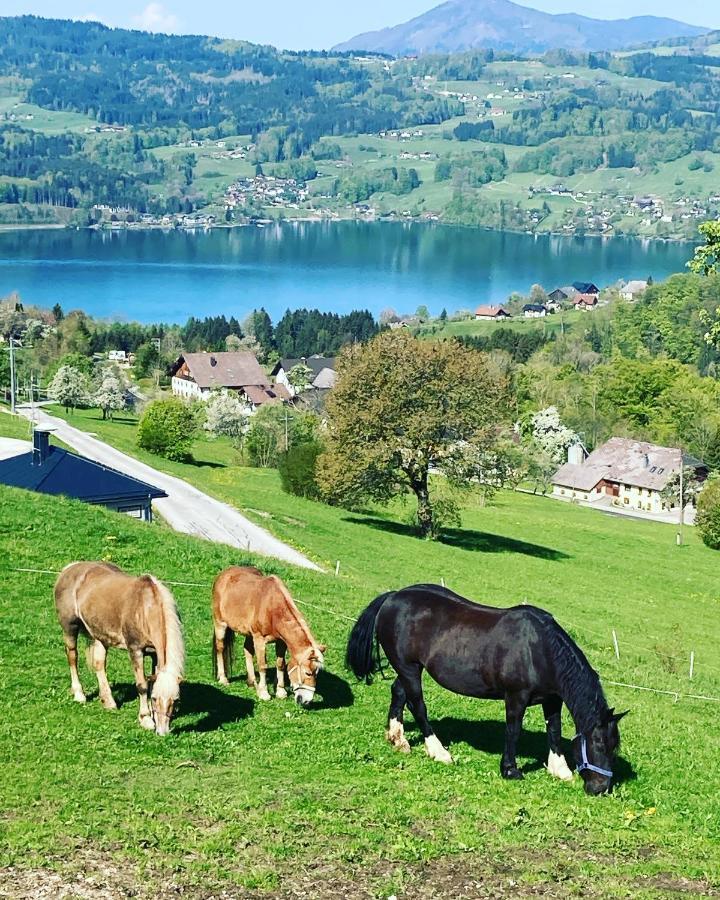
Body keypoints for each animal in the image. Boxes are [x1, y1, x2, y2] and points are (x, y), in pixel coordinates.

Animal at [56, 564, 186, 740]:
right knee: (72, 657)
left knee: (99, 664)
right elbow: (142, 685)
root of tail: (68, 569)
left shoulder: (154, 654)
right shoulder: (136, 650)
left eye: (176, 701)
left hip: (100, 636)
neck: (146, 609)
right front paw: (146, 719)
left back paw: (109, 702)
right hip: (70, 628)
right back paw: (79, 695)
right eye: (154, 699)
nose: (162, 732)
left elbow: (152, 682)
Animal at [211, 568, 326, 708]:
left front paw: (281, 692)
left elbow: (280, 664)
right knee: (220, 648)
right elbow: (262, 666)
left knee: (247, 650)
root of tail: (223, 575)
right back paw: (223, 679)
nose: (306, 701)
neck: (273, 609)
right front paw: (264, 693)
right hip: (220, 624)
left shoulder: (281, 642)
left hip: (249, 634)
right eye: (308, 673)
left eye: (317, 673)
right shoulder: (260, 640)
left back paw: (251, 682)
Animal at [346, 584, 628, 796]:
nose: (600, 788)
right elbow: (513, 731)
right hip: (409, 668)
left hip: (409, 669)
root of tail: (392, 597)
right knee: (418, 705)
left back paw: (398, 739)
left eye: (614, 746)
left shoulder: (552, 700)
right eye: (599, 743)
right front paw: (511, 769)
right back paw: (438, 751)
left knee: (399, 693)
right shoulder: (516, 697)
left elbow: (555, 731)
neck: (539, 650)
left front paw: (560, 769)